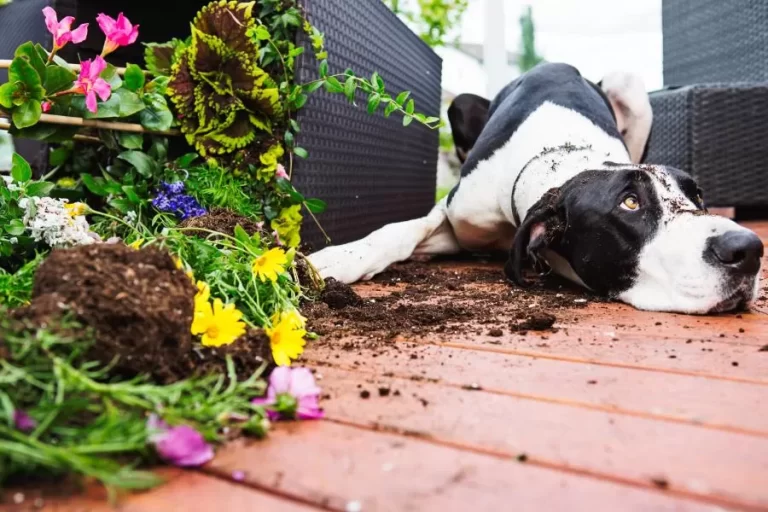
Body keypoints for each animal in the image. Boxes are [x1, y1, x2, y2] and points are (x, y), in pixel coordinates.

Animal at [308, 62, 764, 314]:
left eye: (696, 196)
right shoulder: (458, 216)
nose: (748, 249)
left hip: (629, 84)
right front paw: (336, 259)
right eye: (630, 203)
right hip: (461, 105)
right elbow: (399, 231)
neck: (562, 158)